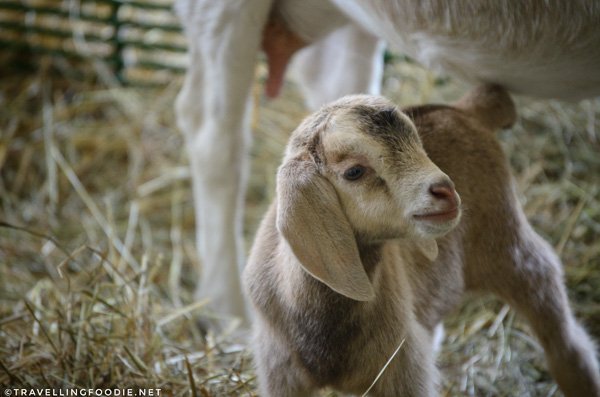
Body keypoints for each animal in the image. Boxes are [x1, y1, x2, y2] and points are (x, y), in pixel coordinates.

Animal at [244, 85, 600, 394]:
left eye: (419, 146)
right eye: (354, 172)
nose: (446, 191)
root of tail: (463, 109)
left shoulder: (403, 364)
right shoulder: (279, 373)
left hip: (506, 240)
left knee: (547, 291)